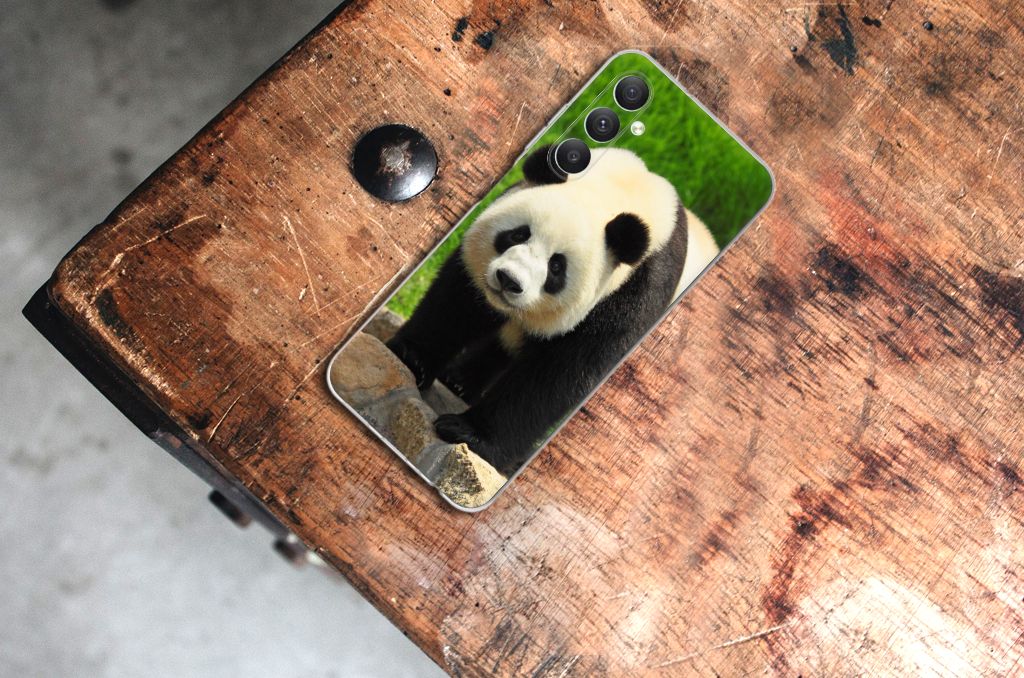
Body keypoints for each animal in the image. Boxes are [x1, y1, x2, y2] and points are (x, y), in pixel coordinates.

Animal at [386, 145, 720, 476]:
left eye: (557, 267)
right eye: (518, 235)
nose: (509, 280)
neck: (619, 191)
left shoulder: (634, 291)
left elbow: (560, 374)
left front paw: (468, 433)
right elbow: (459, 301)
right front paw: (413, 359)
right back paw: (459, 379)